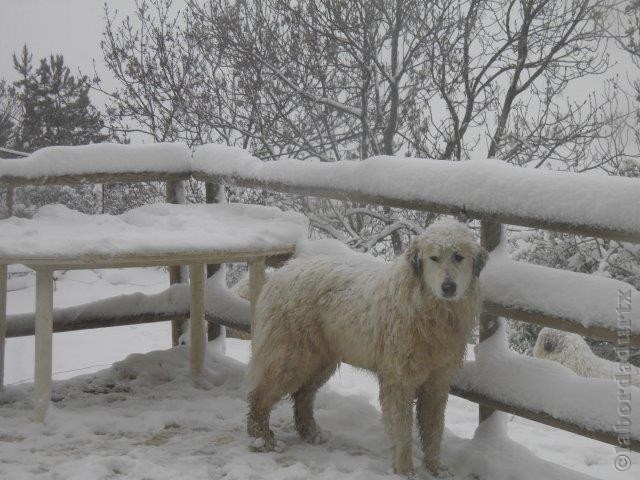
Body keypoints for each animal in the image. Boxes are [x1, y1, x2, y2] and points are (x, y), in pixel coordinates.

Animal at [248, 221, 488, 476]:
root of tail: (282, 272)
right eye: (434, 258)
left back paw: (311, 433)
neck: (430, 309)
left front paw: (436, 469)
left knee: (303, 395)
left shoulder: (437, 382)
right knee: (260, 395)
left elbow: (434, 430)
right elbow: (402, 431)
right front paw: (405, 471)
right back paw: (260, 439)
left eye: (458, 257)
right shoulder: (399, 381)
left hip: (320, 360)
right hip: (291, 358)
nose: (448, 287)